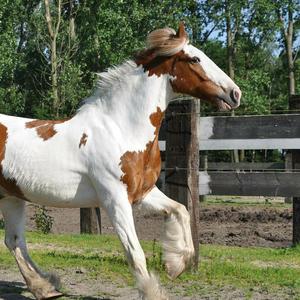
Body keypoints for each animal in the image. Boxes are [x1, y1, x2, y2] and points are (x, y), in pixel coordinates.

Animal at [0, 23, 240, 300]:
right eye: (195, 59)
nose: (235, 93)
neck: (121, 128)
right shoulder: (114, 199)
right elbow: (135, 252)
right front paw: (152, 291)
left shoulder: (143, 192)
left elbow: (180, 210)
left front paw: (176, 263)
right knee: (15, 242)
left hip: (12, 196)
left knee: (15, 241)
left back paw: (45, 286)